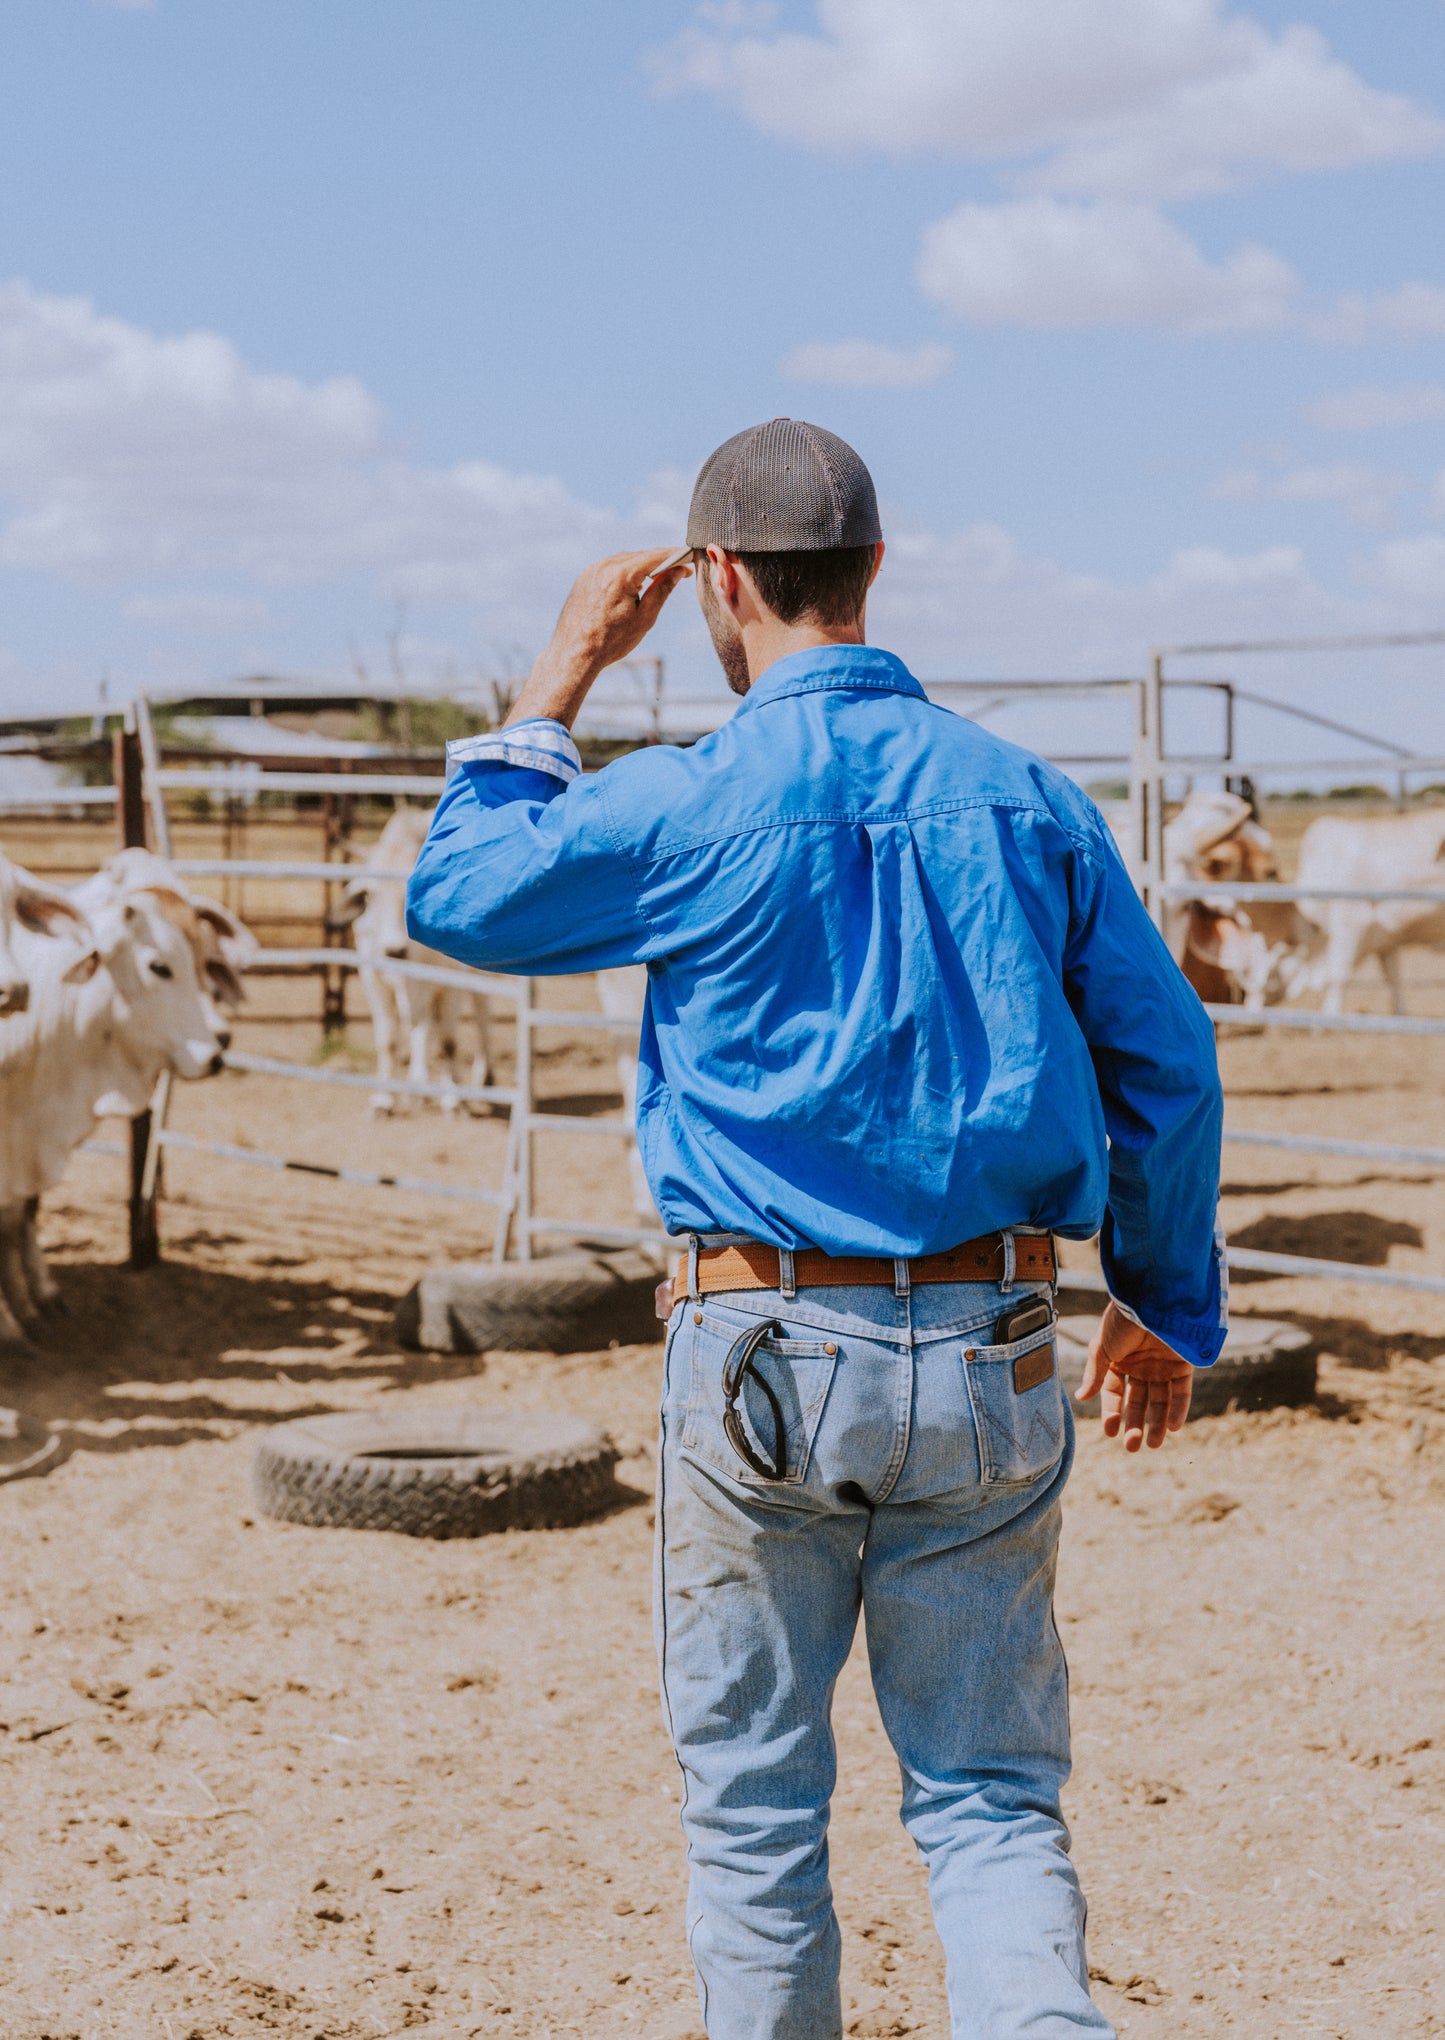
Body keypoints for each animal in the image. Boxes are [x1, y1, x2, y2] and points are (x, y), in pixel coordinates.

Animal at [338, 807, 495, 1117]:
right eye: (369, 895)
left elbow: (449, 1041)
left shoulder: (449, 982)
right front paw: (383, 1100)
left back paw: (483, 1078)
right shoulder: (374, 977)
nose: (394, 950)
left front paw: (453, 1100)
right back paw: (418, 1087)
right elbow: (389, 1040)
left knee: (482, 1016)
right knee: (422, 1025)